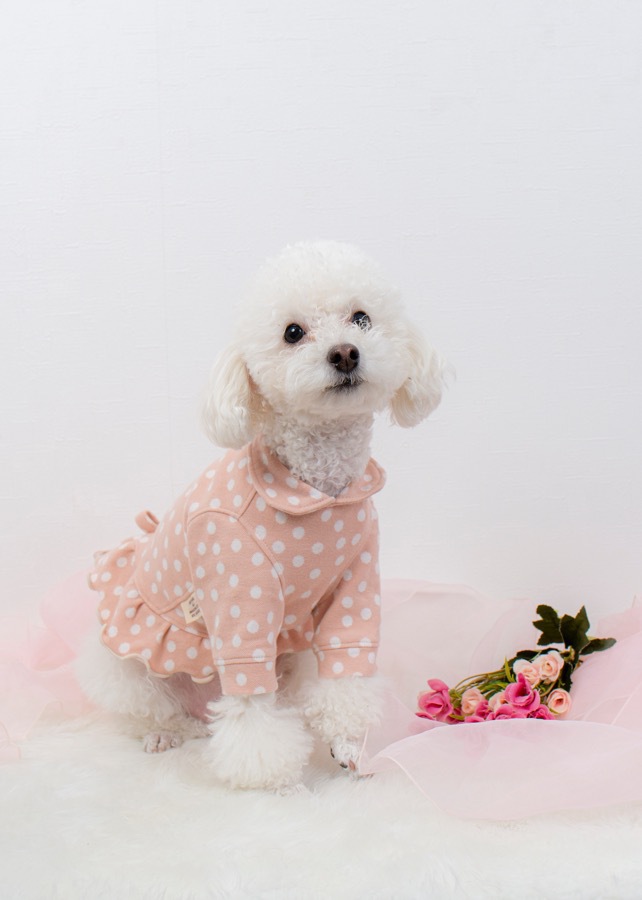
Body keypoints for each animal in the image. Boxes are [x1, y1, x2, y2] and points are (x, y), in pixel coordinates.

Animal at [76, 241, 445, 792]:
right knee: (150, 706)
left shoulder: (354, 584)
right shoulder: (239, 596)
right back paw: (164, 732)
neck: (318, 489)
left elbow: (346, 668)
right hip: (123, 659)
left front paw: (348, 748)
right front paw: (280, 784)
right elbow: (253, 711)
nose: (345, 353)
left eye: (361, 318)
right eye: (292, 332)